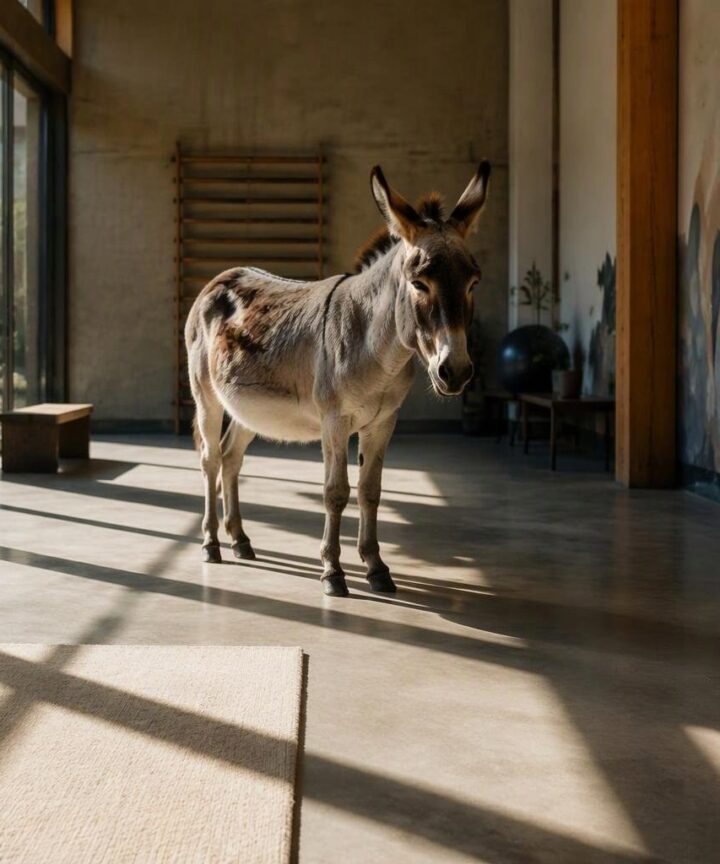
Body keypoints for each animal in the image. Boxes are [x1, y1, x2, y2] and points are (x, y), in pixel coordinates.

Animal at [185, 161, 490, 596]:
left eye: (473, 283)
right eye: (419, 283)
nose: (457, 371)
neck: (379, 352)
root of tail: (222, 276)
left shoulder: (383, 422)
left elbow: (370, 491)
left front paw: (377, 567)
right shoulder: (335, 421)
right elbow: (336, 492)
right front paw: (333, 571)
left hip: (248, 409)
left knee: (230, 459)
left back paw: (240, 540)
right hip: (207, 397)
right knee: (210, 459)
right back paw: (211, 543)